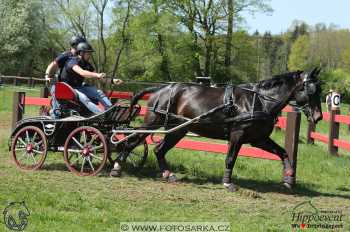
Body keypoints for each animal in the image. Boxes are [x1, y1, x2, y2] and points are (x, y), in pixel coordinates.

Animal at [112, 68, 322, 191]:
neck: (260, 101)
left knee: (158, 149)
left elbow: (284, 153)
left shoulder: (258, 139)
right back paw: (117, 167)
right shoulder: (237, 135)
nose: (318, 116)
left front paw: (289, 178)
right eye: (311, 90)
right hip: (153, 123)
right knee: (131, 141)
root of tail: (159, 90)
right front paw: (228, 182)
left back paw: (168, 174)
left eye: (319, 90)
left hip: (177, 129)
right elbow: (230, 158)